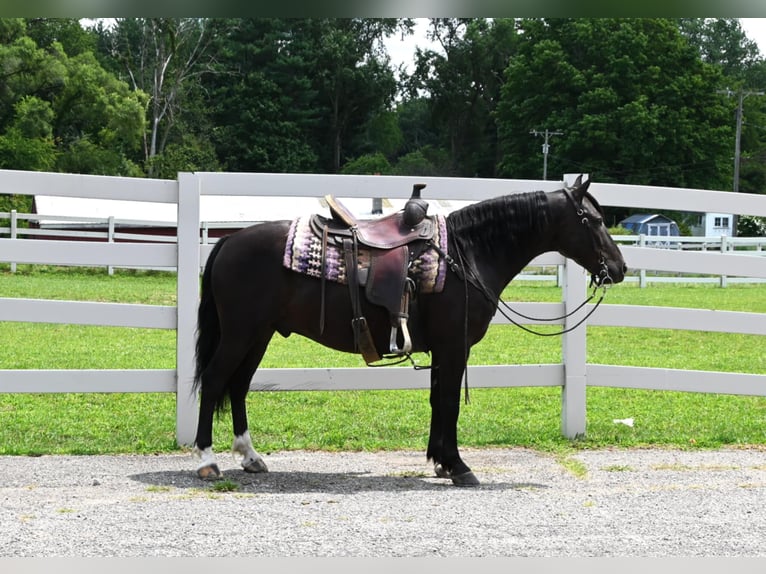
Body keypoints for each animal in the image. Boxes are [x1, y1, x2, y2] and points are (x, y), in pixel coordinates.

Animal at [190, 176, 624, 486]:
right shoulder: (454, 347)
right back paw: (208, 461)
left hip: (258, 335)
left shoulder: (443, 350)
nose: (618, 268)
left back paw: (250, 457)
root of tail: (228, 242)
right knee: (214, 381)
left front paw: (440, 462)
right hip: (240, 333)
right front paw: (459, 467)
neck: (467, 253)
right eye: (595, 221)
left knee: (238, 386)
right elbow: (448, 402)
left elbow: (437, 401)